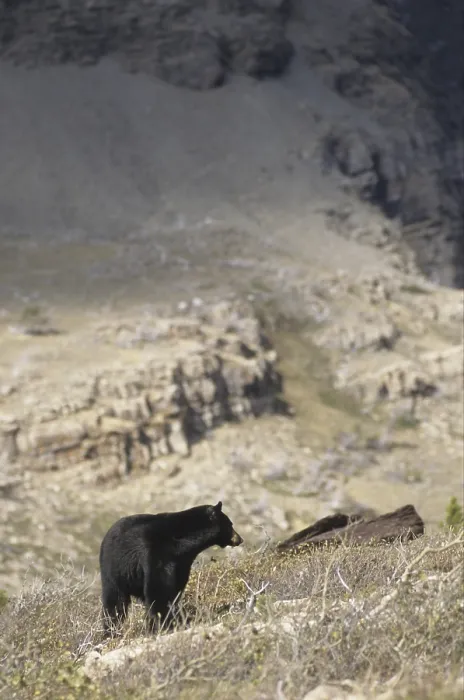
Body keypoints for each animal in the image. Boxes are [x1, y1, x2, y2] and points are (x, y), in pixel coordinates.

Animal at [99, 501, 243, 635]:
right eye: (230, 524)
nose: (240, 539)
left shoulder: (181, 562)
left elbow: (174, 590)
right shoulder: (156, 553)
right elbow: (159, 589)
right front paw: (164, 624)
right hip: (112, 571)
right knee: (115, 601)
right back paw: (111, 630)